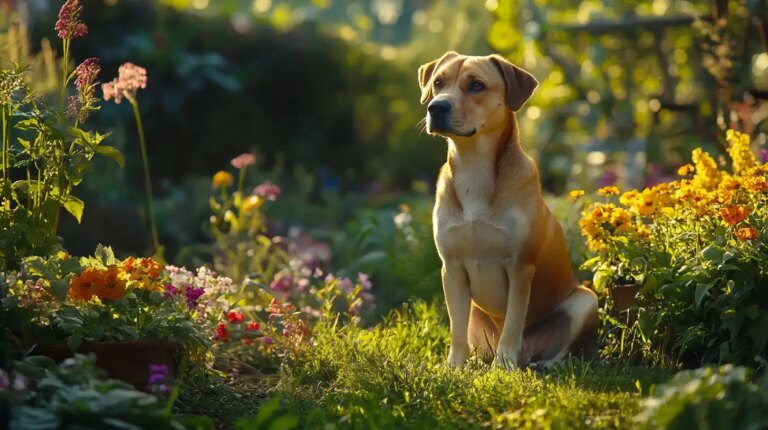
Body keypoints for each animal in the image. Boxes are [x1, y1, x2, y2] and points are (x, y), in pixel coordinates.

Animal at [420, 50, 600, 366]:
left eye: (476, 85)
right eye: (438, 82)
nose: (436, 107)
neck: (474, 169)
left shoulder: (520, 267)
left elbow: (514, 320)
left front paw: (504, 364)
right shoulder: (451, 268)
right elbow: (456, 328)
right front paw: (453, 366)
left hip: (585, 300)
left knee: (563, 350)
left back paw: (543, 364)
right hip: (476, 318)